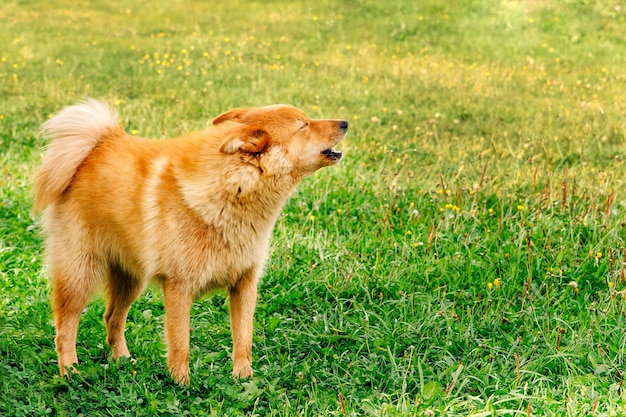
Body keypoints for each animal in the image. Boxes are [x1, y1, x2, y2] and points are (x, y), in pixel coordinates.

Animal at [33, 100, 346, 384]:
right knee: (65, 326)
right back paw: (70, 372)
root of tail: (96, 147)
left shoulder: (244, 284)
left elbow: (243, 339)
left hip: (130, 279)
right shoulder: (179, 287)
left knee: (112, 317)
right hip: (80, 275)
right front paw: (181, 383)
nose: (344, 122)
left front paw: (243, 378)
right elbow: (180, 343)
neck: (233, 186)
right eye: (303, 125)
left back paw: (123, 361)